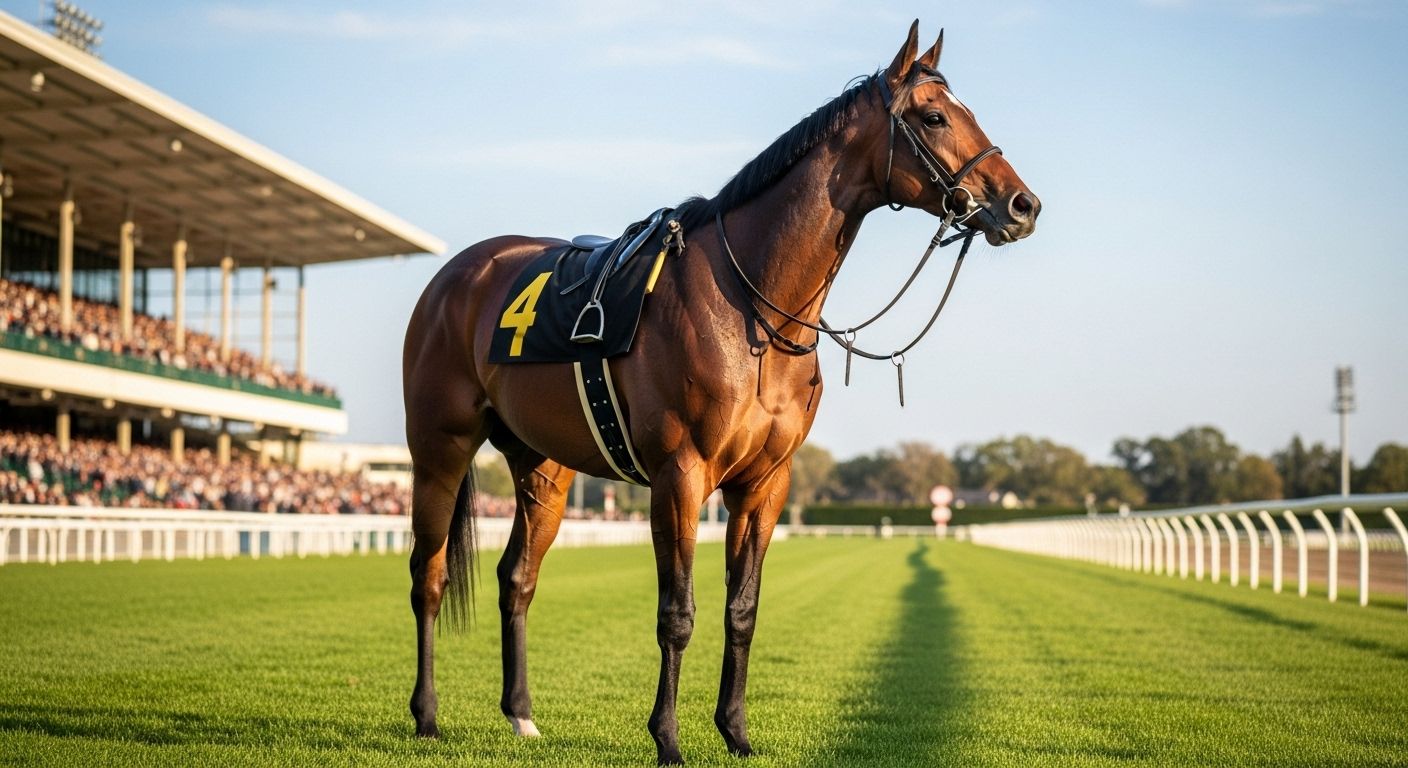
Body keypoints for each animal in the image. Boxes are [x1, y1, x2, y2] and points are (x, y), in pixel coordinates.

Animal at [402, 20, 1040, 765]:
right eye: (935, 117)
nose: (1023, 204)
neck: (752, 310)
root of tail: (457, 275)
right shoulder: (680, 475)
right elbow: (678, 614)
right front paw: (668, 739)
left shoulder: (765, 483)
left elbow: (744, 610)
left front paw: (735, 731)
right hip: (439, 450)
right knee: (429, 575)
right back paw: (426, 715)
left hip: (545, 469)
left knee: (517, 579)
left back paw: (521, 715)